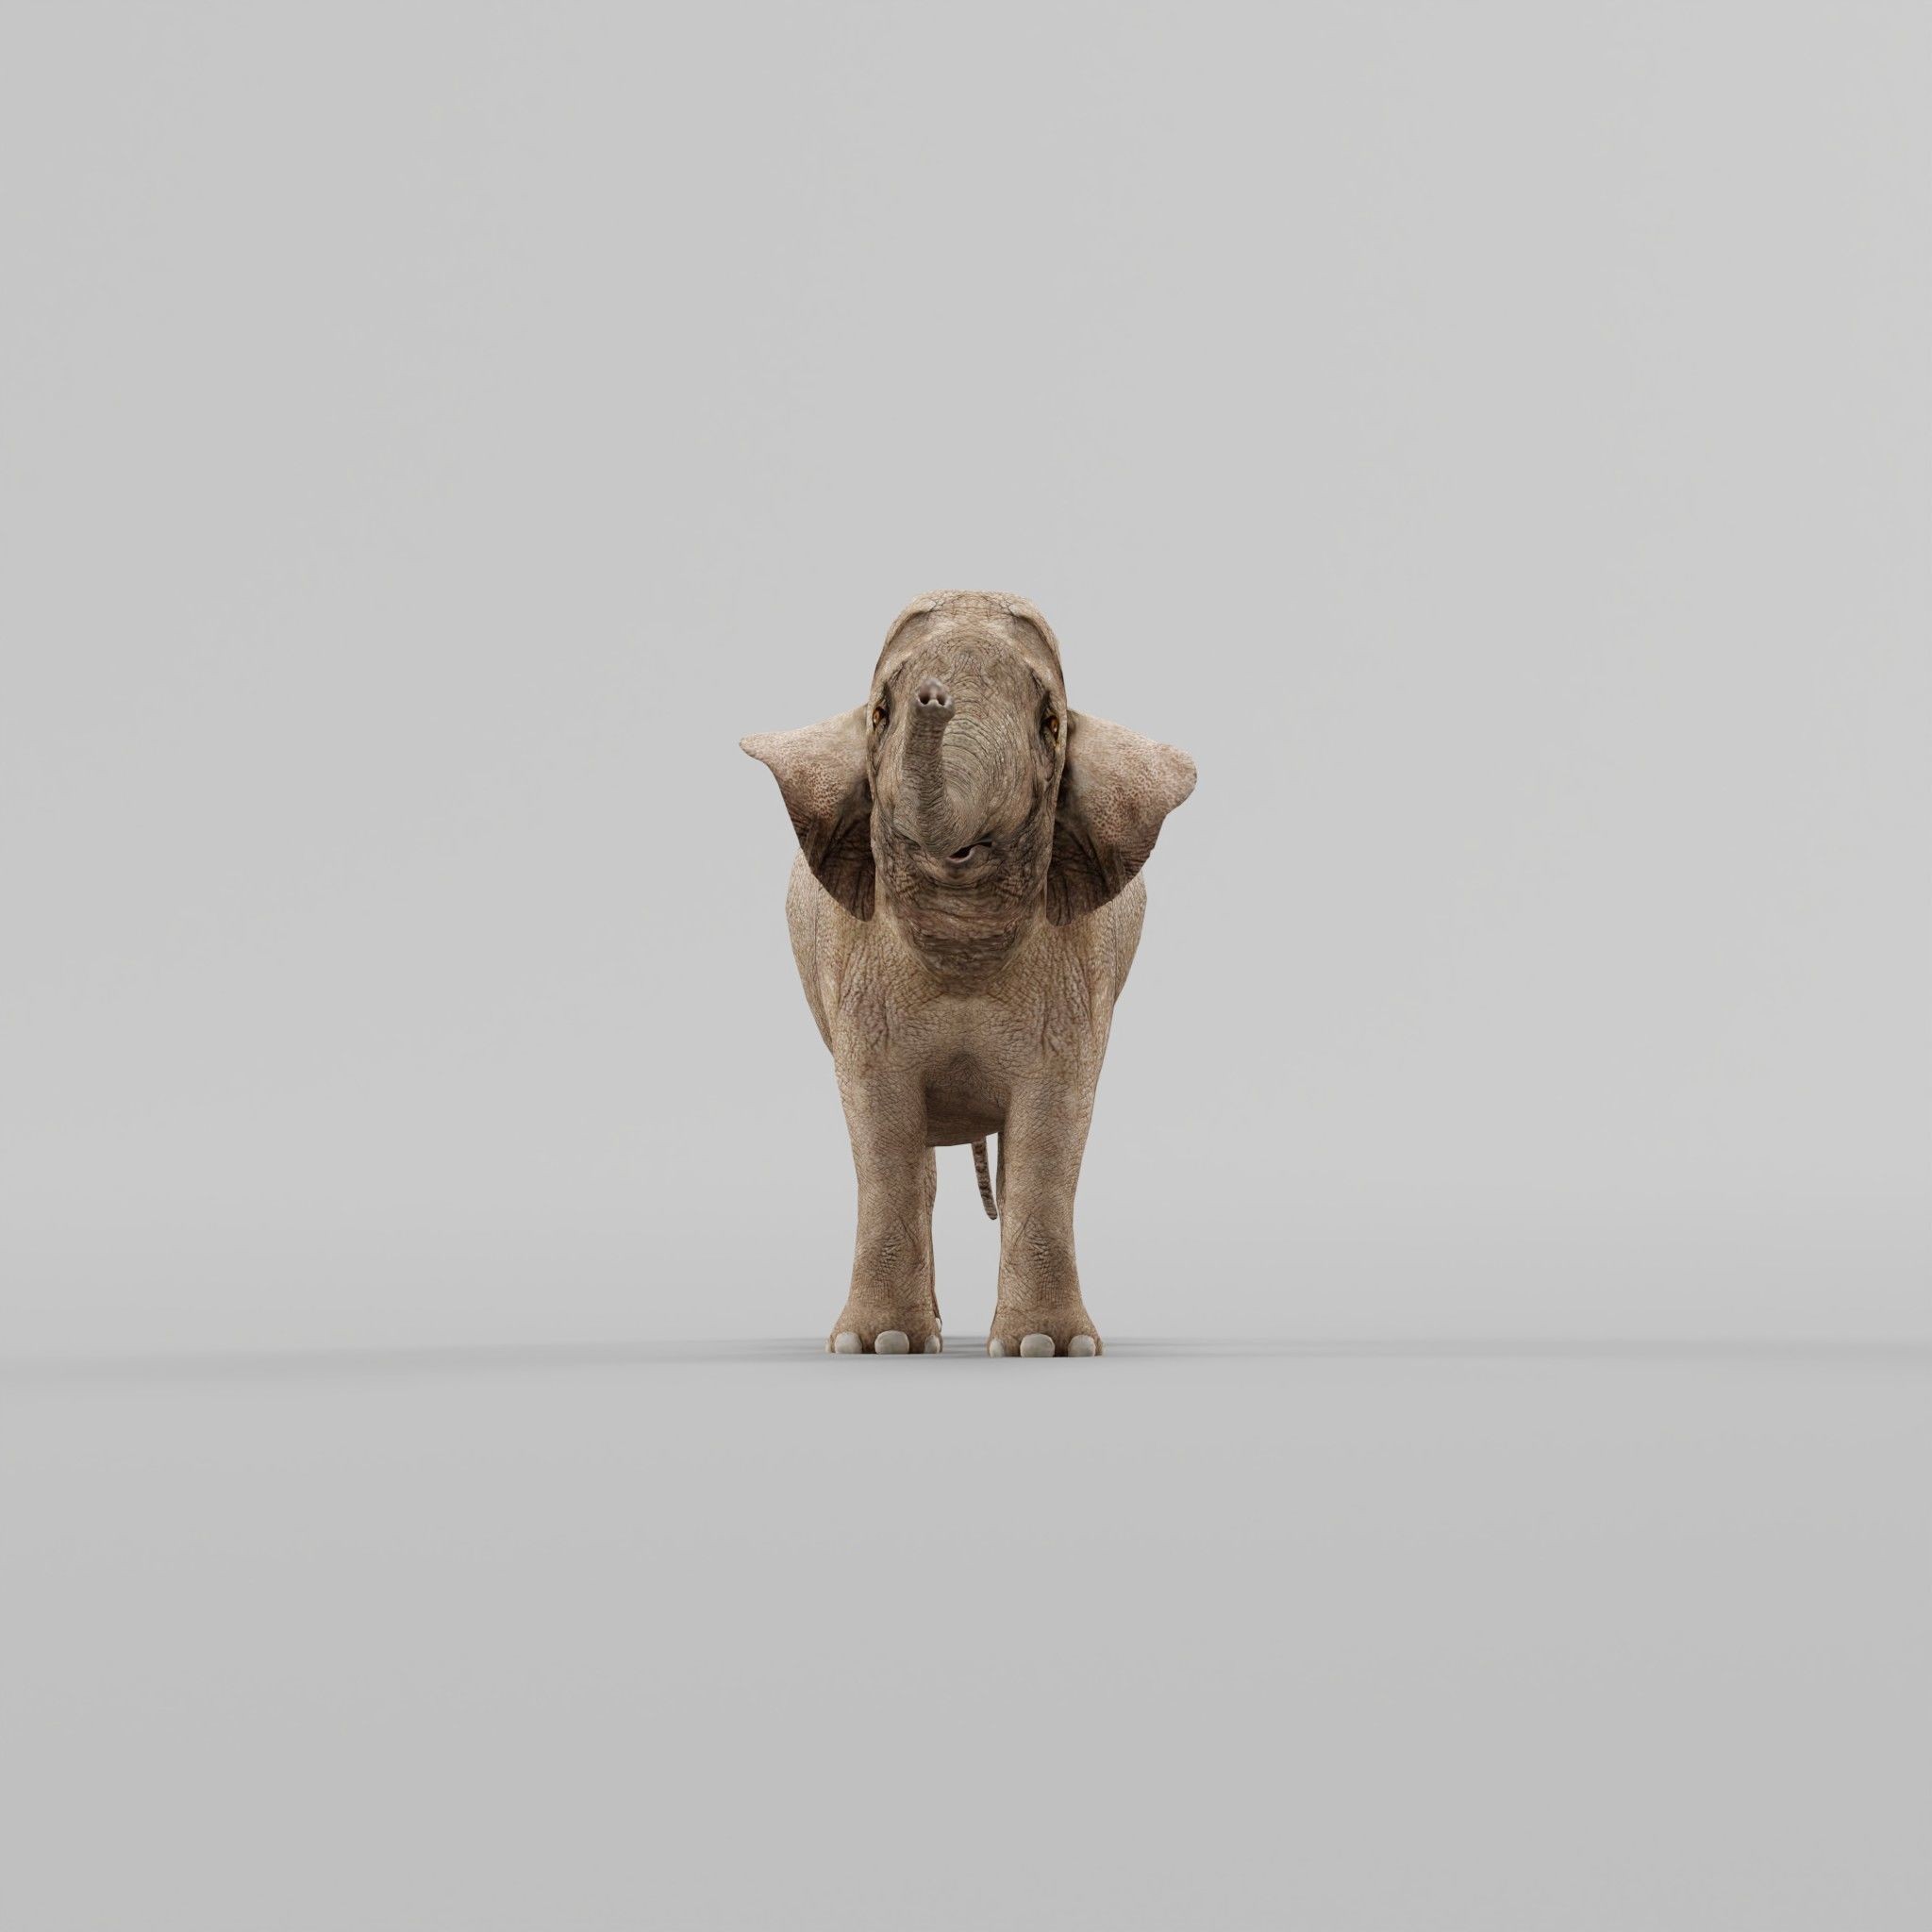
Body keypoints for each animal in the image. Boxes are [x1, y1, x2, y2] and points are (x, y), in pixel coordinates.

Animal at [741, 590, 1196, 1357]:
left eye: (1050, 724)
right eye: (880, 713)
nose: (932, 696)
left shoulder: (1079, 975)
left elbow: (1053, 1122)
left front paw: (1046, 1349)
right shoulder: (854, 968)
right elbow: (880, 1121)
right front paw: (877, 1347)